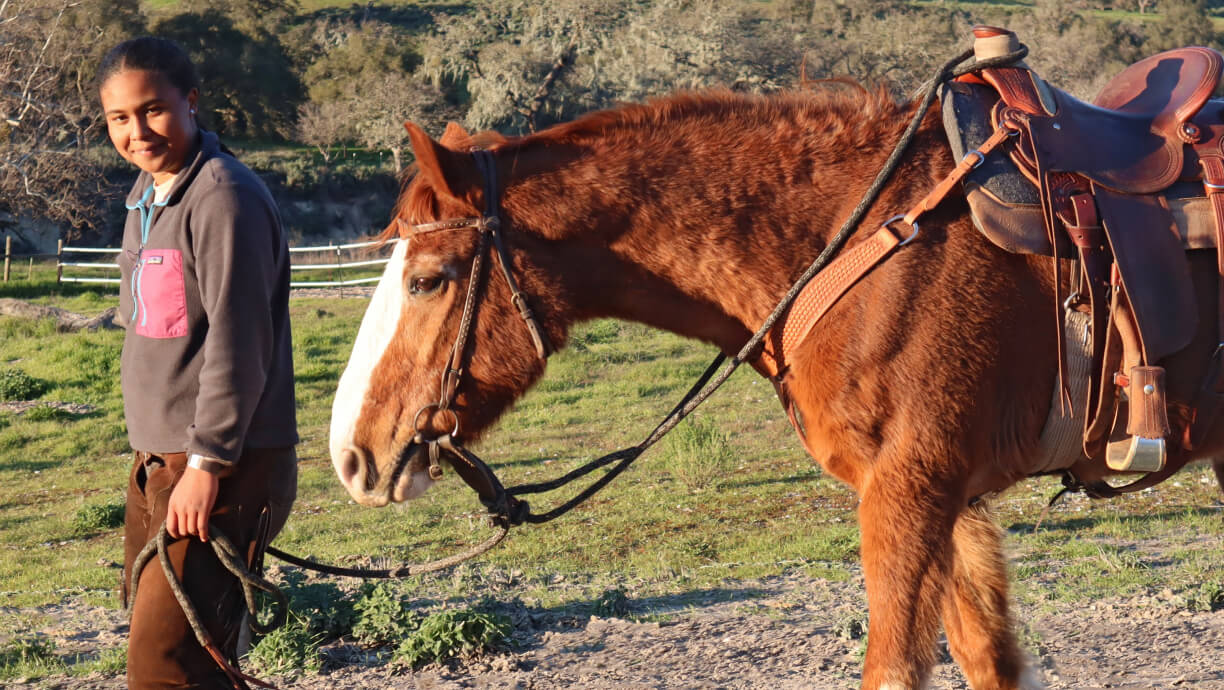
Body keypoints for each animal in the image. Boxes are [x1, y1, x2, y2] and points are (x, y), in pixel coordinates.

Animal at [326, 83, 1224, 689]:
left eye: (428, 280)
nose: (351, 455)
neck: (871, 239)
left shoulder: (910, 491)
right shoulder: (952, 499)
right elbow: (986, 659)